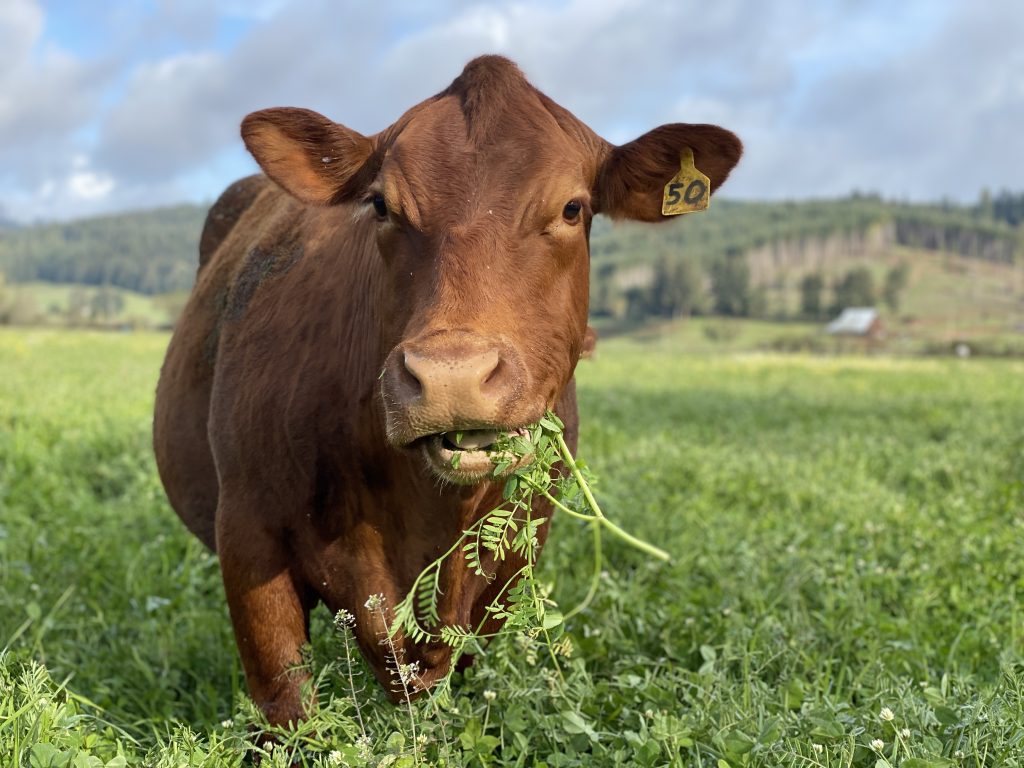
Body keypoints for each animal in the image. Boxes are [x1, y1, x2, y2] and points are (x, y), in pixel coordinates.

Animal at [153, 55, 741, 727]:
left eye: (572, 209)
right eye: (380, 205)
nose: (451, 376)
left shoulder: (515, 552)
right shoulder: (248, 533)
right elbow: (287, 704)